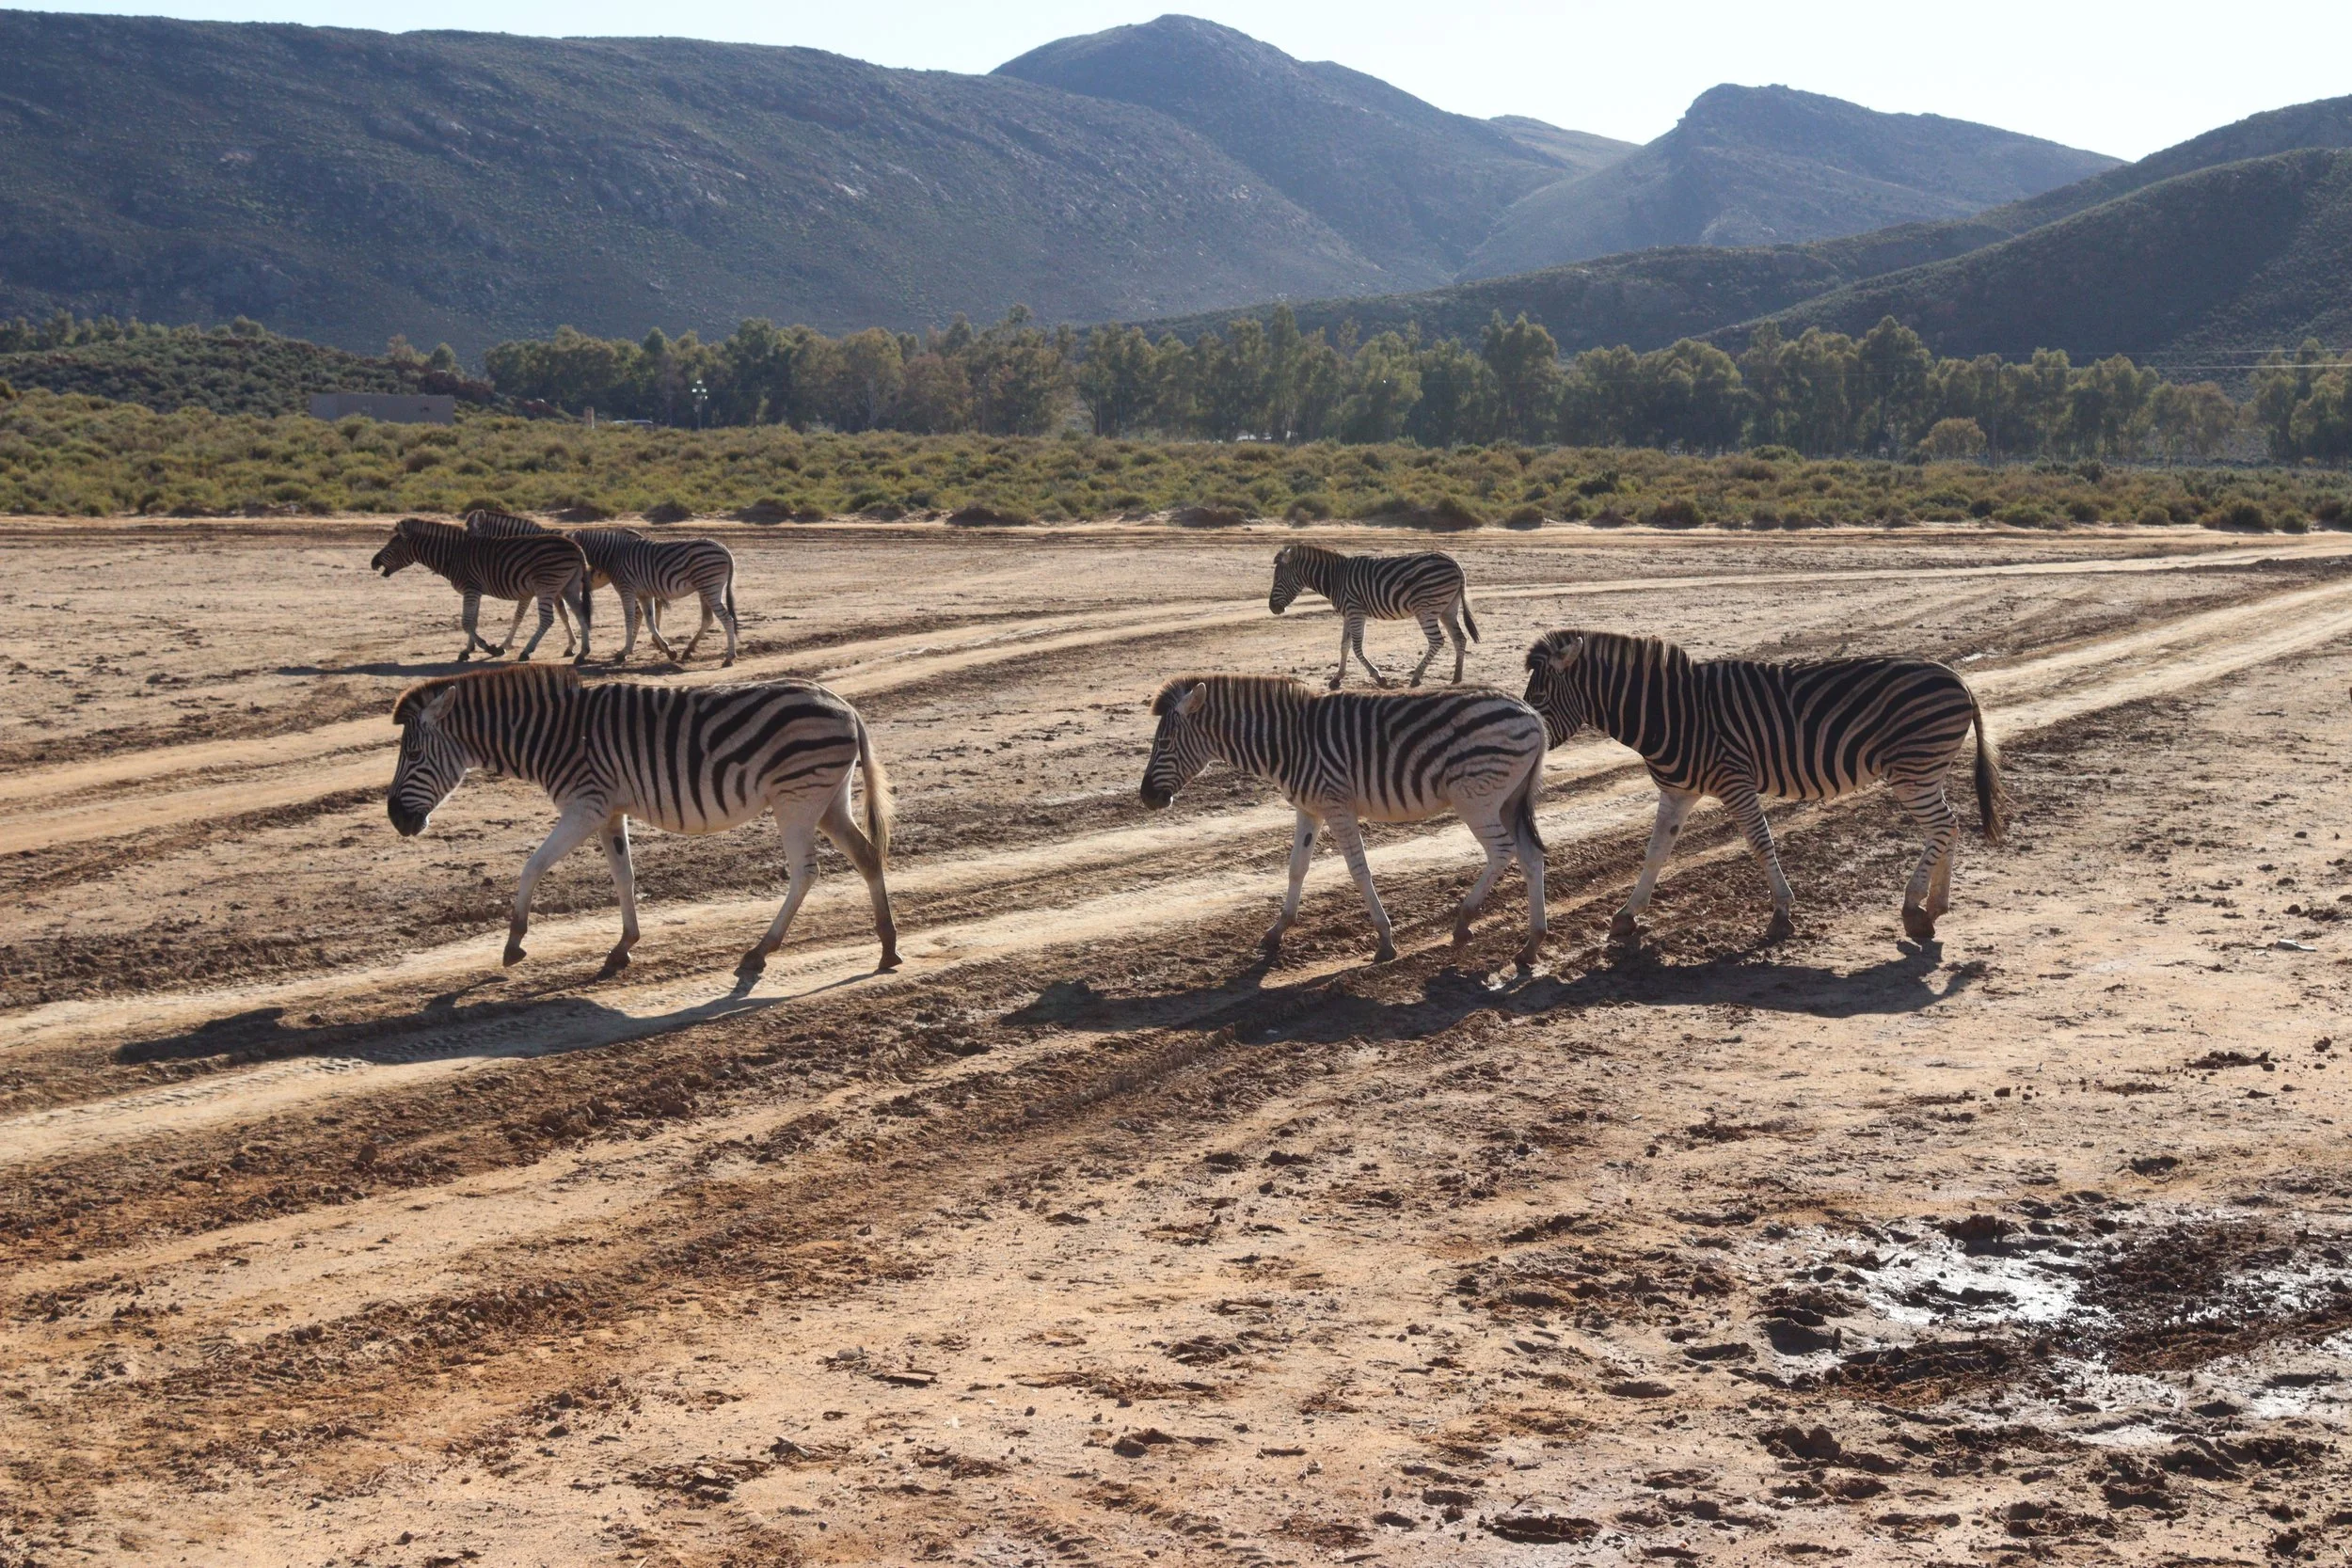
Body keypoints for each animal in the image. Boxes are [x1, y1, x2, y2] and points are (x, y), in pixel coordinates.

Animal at [371, 517, 590, 663]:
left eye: (392, 546)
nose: (373, 563)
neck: (454, 555)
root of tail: (576, 547)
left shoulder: (471, 589)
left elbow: (466, 622)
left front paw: (491, 649)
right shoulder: (474, 592)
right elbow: (473, 621)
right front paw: (467, 650)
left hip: (546, 585)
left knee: (547, 619)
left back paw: (527, 651)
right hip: (568, 586)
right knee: (581, 614)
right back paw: (582, 652)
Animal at [386, 663, 897, 978]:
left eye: (413, 755)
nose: (395, 820)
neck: (553, 734)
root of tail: (845, 705)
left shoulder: (585, 805)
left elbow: (533, 865)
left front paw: (515, 942)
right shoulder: (610, 811)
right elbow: (624, 877)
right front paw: (624, 946)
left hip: (796, 800)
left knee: (805, 872)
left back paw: (760, 950)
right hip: (828, 801)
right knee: (867, 855)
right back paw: (888, 947)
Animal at [1141, 674, 1547, 969]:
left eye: (1164, 743)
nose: (1145, 797)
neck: (1290, 741)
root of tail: (1532, 714)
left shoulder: (1337, 806)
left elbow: (1358, 870)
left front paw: (1385, 941)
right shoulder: (1310, 809)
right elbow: (1297, 867)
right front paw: (1277, 930)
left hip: (1475, 798)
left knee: (1503, 851)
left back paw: (1464, 922)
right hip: (1507, 800)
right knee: (1530, 856)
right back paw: (1531, 944)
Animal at [1267, 544, 1479, 690]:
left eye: (1277, 578)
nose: (1272, 608)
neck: (1334, 579)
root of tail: (1454, 563)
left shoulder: (1355, 611)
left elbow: (1356, 648)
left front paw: (1379, 677)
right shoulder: (1348, 614)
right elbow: (1344, 646)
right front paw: (1337, 679)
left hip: (1426, 608)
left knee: (1437, 641)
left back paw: (1416, 677)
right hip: (1448, 609)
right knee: (1459, 638)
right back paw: (1457, 677)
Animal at [1521, 630, 2005, 948]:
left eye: (1539, 698)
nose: (1528, 735)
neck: (1670, 711)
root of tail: (1956, 677)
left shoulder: (1734, 780)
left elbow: (1759, 842)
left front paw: (1781, 914)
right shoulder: (1678, 791)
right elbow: (1656, 852)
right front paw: (1626, 915)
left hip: (1913, 770)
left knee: (1942, 826)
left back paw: (1913, 908)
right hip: (1925, 772)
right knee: (1949, 826)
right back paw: (1935, 906)